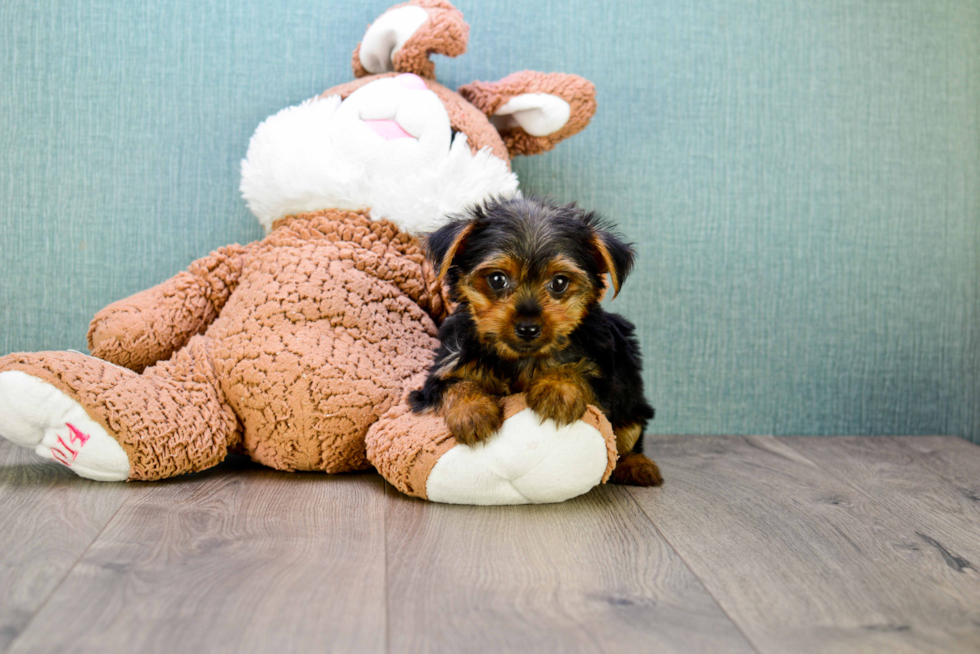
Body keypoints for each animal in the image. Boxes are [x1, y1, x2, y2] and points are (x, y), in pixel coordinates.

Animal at [410, 197, 664, 490]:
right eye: (497, 279)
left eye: (560, 282)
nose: (528, 328)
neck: (520, 358)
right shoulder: (445, 367)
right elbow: (455, 384)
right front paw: (472, 411)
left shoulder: (604, 372)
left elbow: (580, 370)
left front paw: (557, 388)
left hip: (632, 394)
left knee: (629, 434)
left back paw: (637, 465)